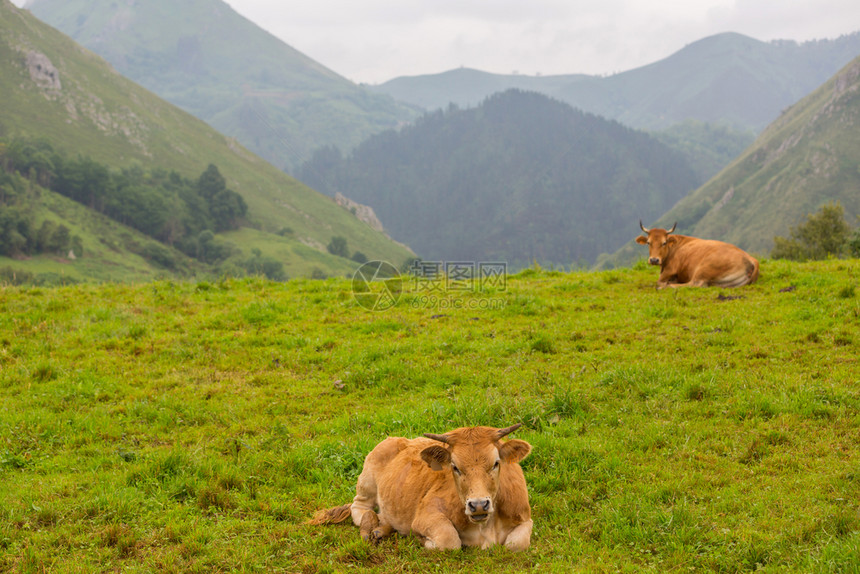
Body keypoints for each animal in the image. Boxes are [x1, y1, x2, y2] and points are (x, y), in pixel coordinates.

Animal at [312, 428, 536, 552]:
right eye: (455, 466)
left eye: (496, 463)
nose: (479, 505)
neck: (486, 527)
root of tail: (400, 438)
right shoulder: (425, 516)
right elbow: (449, 540)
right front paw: (423, 540)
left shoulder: (525, 517)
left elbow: (516, 544)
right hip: (366, 482)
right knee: (359, 508)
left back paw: (381, 528)